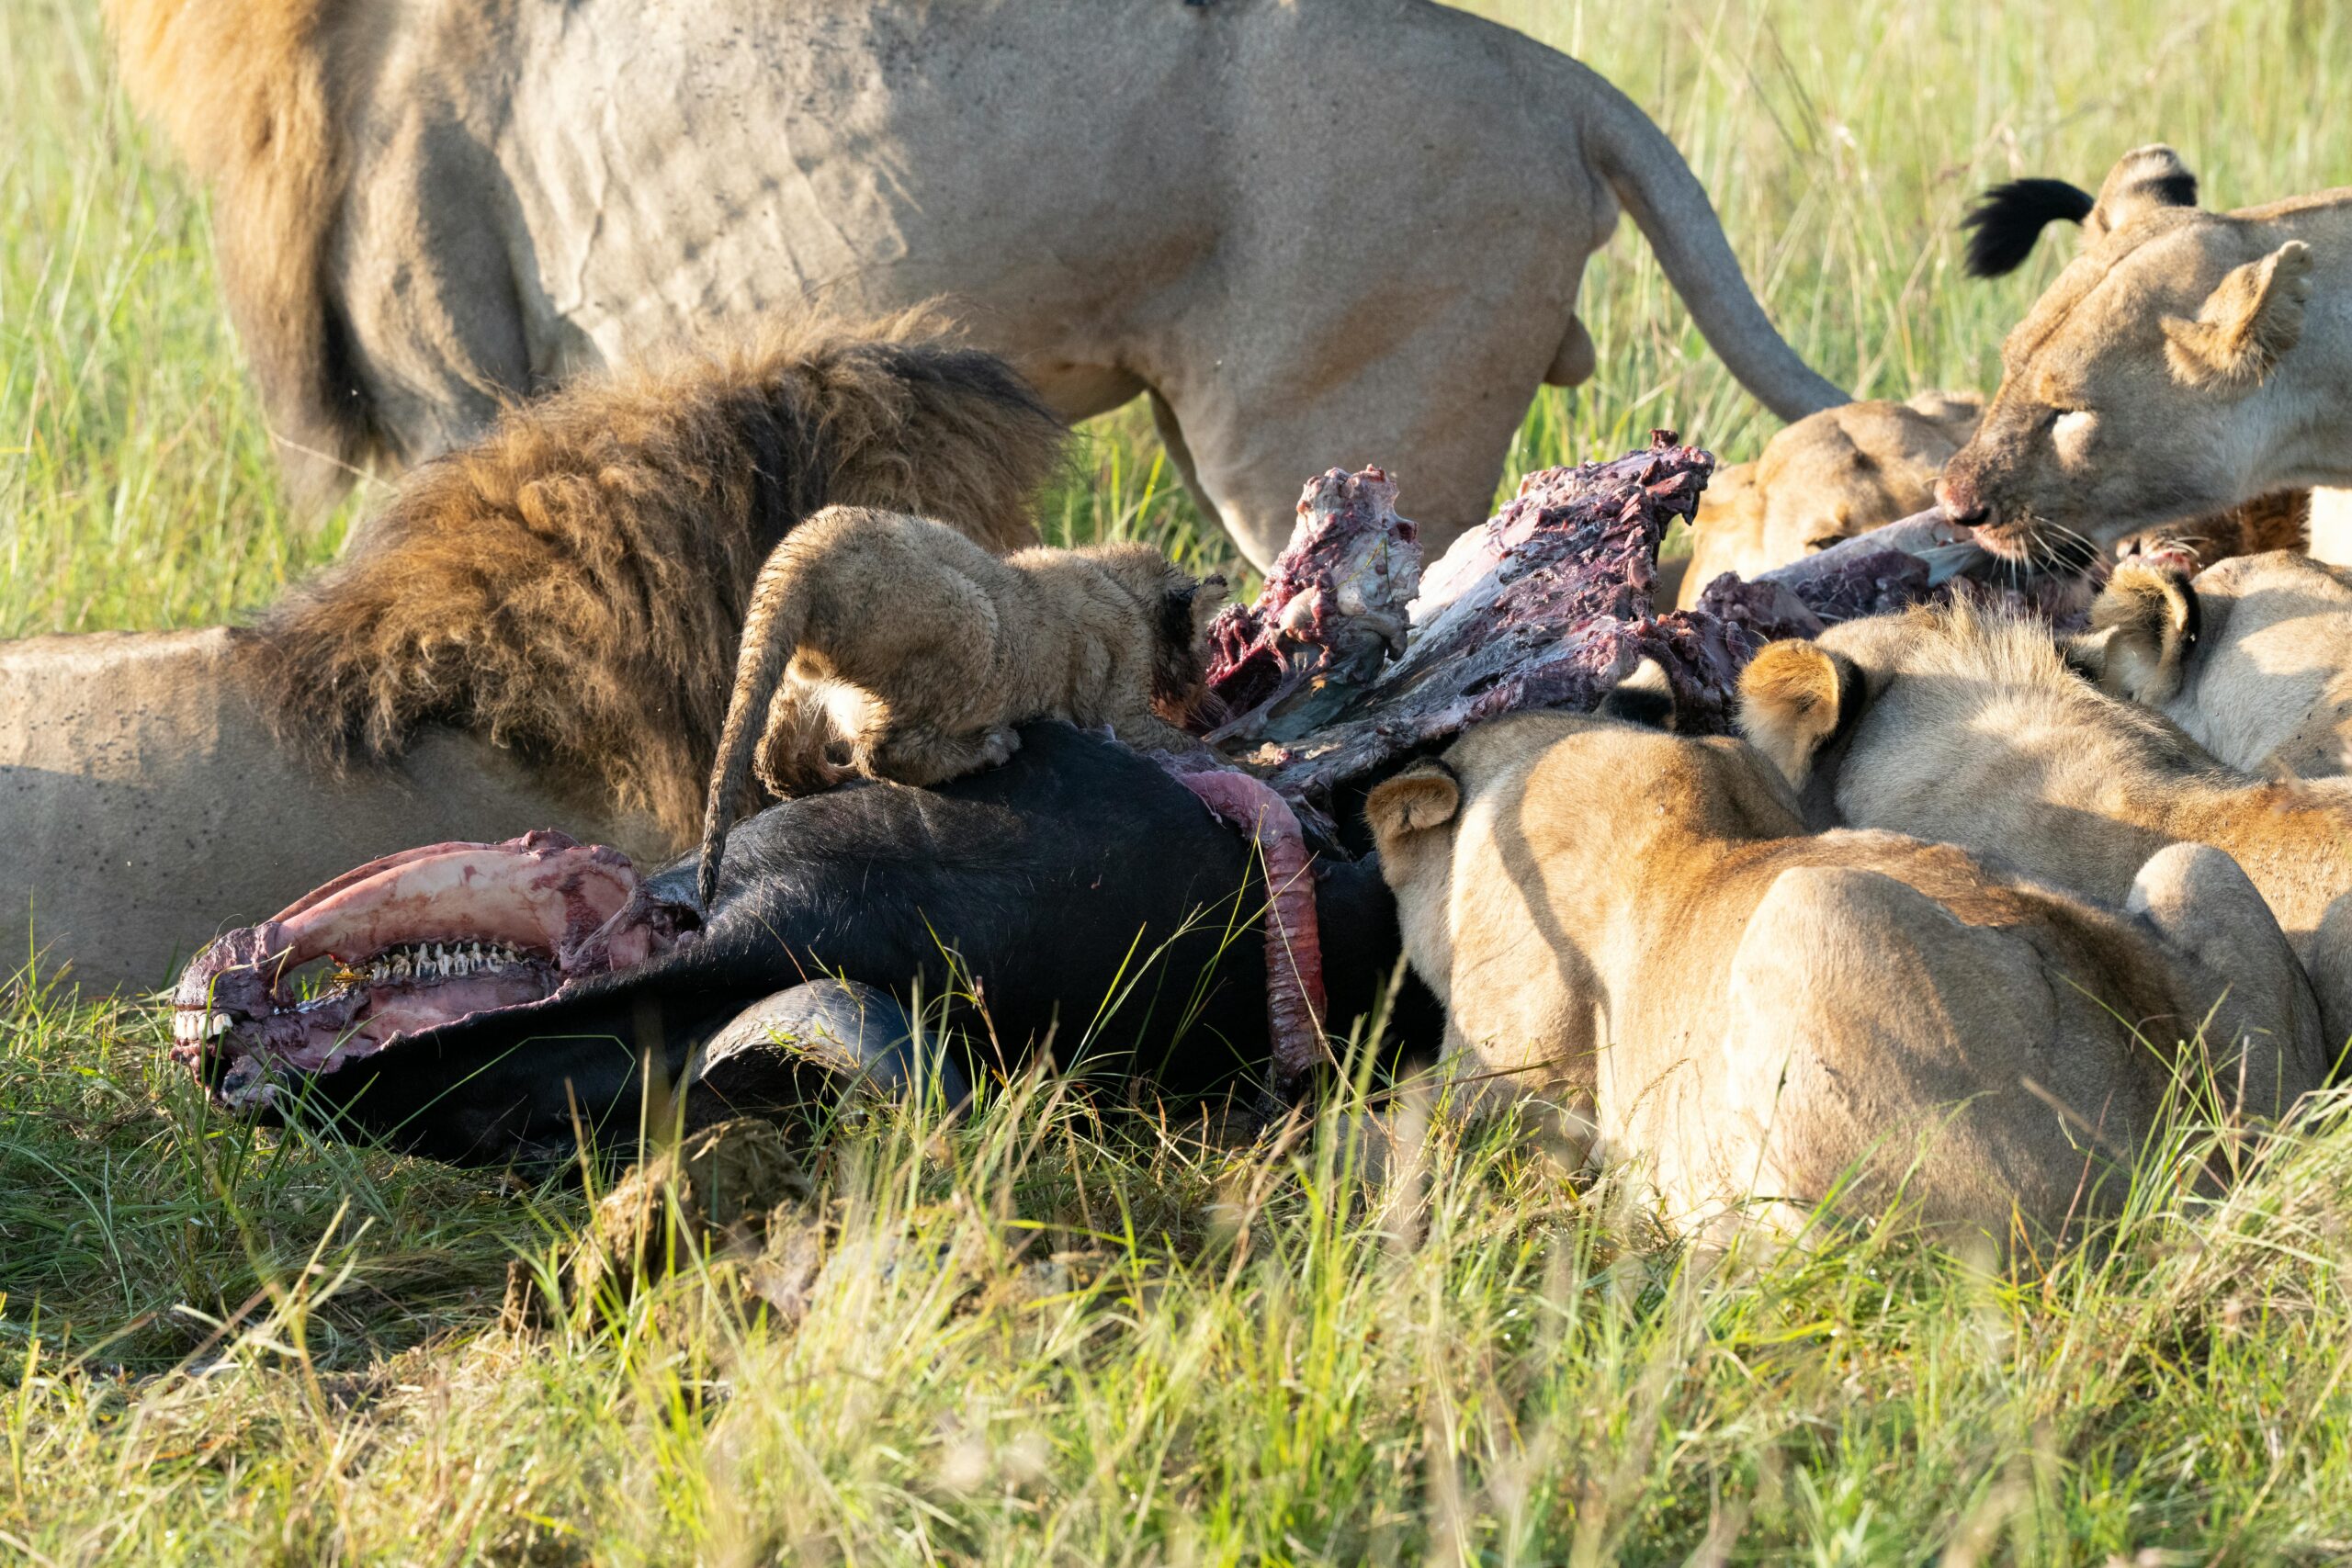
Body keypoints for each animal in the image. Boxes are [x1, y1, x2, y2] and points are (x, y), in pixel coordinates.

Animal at [697, 509, 1224, 904]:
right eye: (1205, 646)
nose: (1205, 695)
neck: (1113, 576)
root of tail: (803, 553)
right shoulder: (1123, 709)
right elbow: (1191, 745)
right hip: (973, 620)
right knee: (882, 754)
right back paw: (992, 746)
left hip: (796, 681)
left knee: (778, 762)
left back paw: (829, 777)